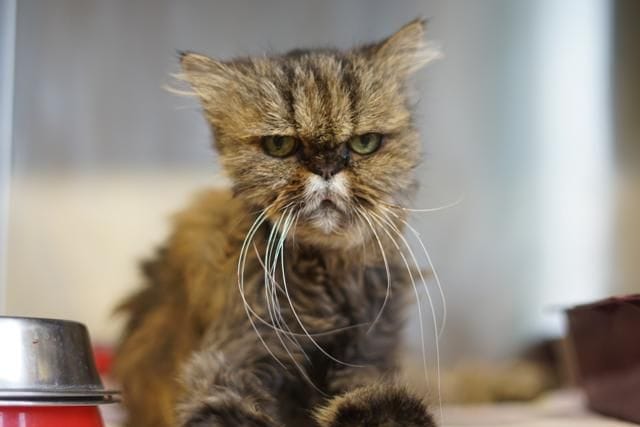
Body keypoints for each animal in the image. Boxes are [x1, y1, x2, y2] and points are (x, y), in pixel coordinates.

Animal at [115, 18, 442, 426]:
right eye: (279, 146)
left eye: (365, 142)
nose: (326, 167)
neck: (325, 279)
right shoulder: (234, 356)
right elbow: (225, 408)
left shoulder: (369, 355)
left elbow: (376, 395)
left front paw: (376, 415)